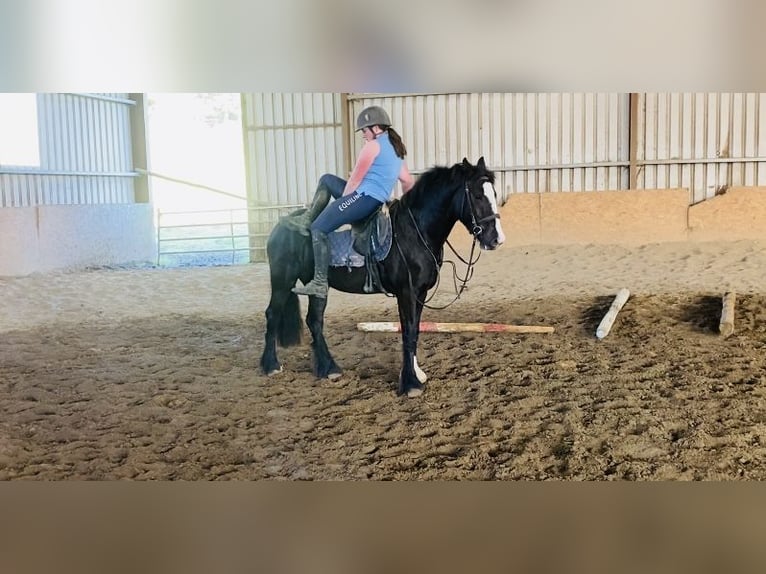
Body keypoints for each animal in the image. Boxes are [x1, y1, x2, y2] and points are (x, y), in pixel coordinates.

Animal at [260, 158, 508, 400]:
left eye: (494, 193)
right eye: (477, 195)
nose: (496, 239)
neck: (414, 232)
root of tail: (281, 226)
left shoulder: (420, 293)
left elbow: (415, 331)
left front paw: (416, 374)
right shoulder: (406, 292)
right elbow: (408, 331)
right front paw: (411, 384)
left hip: (317, 287)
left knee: (314, 321)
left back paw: (329, 369)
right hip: (282, 280)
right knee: (273, 314)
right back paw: (271, 365)